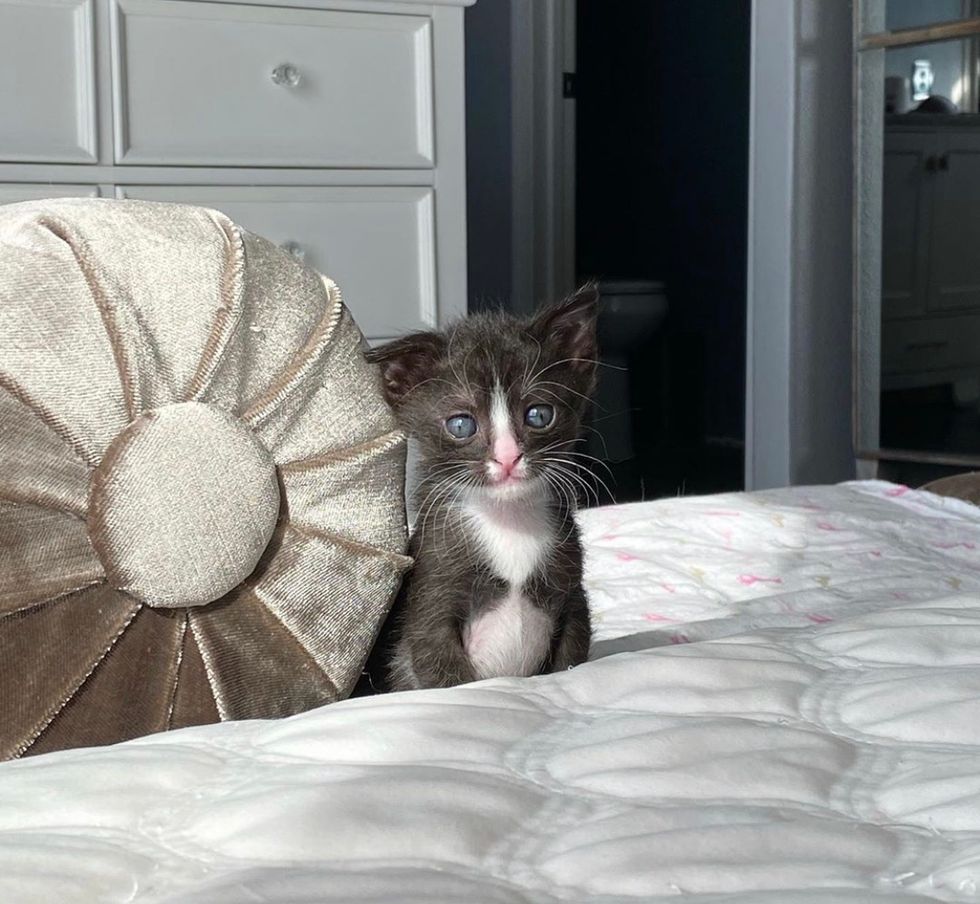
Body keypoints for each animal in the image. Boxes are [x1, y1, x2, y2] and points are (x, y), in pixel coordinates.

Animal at [364, 286, 600, 688]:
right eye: (461, 425)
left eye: (539, 415)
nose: (507, 458)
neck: (508, 518)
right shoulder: (430, 600)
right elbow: (450, 677)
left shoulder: (571, 592)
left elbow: (570, 658)